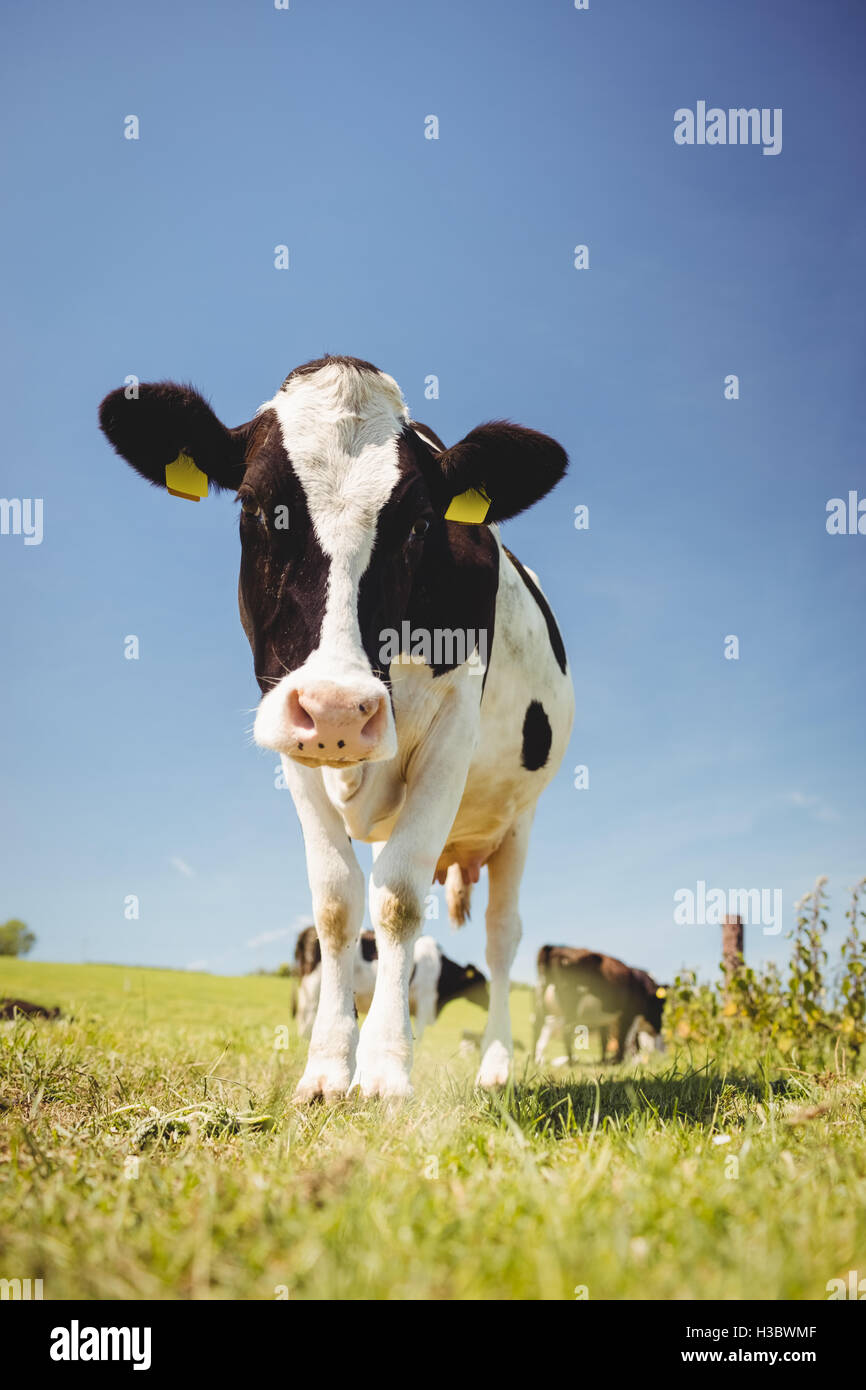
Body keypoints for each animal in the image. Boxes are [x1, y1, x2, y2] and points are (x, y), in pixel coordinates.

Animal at [532, 946, 667, 1065]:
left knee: (538, 1030)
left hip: (542, 1005)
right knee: (566, 1032)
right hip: (570, 1004)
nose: (660, 1031)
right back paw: (571, 1062)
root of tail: (552, 947)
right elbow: (625, 1038)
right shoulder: (629, 1015)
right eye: (661, 1008)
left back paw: (537, 1061)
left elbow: (605, 1040)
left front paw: (604, 1061)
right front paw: (618, 1061)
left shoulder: (605, 1020)